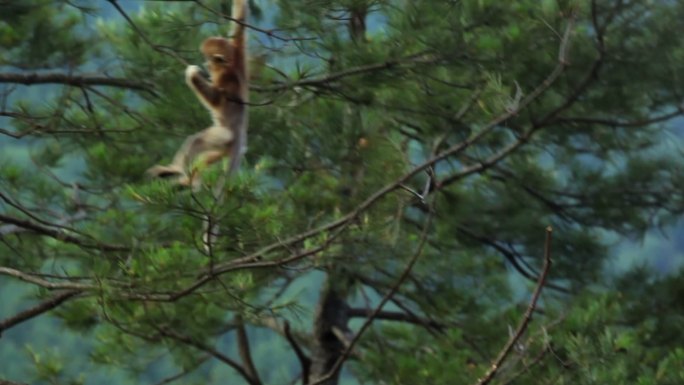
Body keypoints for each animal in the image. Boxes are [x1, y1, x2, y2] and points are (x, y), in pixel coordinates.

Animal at [148, 0, 250, 184]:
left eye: (209, 60)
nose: (206, 64)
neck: (229, 66)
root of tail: (239, 134)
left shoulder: (226, 80)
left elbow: (215, 99)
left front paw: (192, 74)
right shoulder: (238, 51)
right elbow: (240, 21)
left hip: (223, 136)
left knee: (197, 141)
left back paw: (176, 171)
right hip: (222, 148)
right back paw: (186, 181)